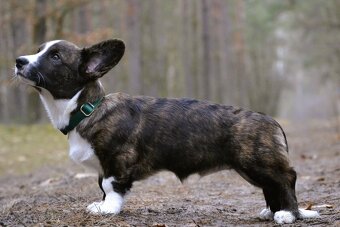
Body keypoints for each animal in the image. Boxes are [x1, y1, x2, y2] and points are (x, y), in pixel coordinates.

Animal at [14, 39, 320, 223]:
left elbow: (110, 187)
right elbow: (100, 186)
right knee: (271, 185)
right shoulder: (103, 165)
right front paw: (100, 206)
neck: (88, 108)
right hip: (251, 169)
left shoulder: (115, 162)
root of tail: (271, 120)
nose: (18, 61)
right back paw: (271, 211)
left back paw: (287, 214)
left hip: (257, 163)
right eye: (39, 49)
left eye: (55, 56)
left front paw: (109, 210)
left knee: (285, 179)